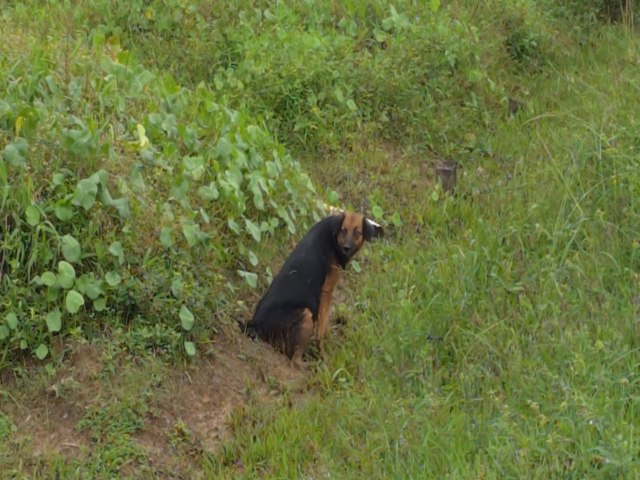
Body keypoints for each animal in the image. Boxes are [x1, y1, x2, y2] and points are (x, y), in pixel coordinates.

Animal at [244, 212, 383, 368]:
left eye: (357, 233)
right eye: (343, 230)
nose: (346, 248)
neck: (333, 235)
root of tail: (255, 324)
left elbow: (324, 323)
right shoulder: (327, 290)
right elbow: (321, 329)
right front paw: (323, 353)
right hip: (306, 314)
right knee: (295, 361)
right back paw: (309, 364)